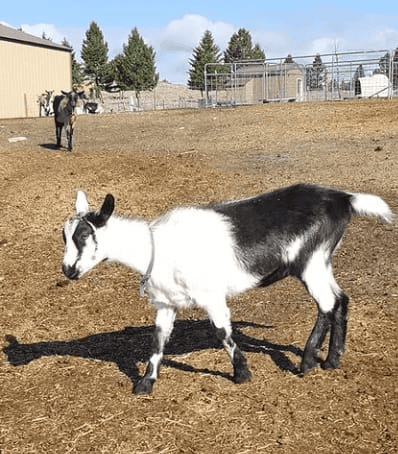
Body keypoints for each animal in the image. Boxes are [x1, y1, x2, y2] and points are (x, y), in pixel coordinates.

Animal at [60, 184, 394, 394]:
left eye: (84, 235)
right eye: (64, 235)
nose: (68, 270)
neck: (155, 246)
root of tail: (344, 198)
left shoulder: (210, 295)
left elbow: (222, 331)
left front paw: (241, 373)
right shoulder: (167, 303)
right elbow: (157, 341)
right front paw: (145, 384)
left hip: (310, 261)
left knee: (326, 303)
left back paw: (308, 362)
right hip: (322, 262)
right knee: (340, 300)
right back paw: (332, 360)